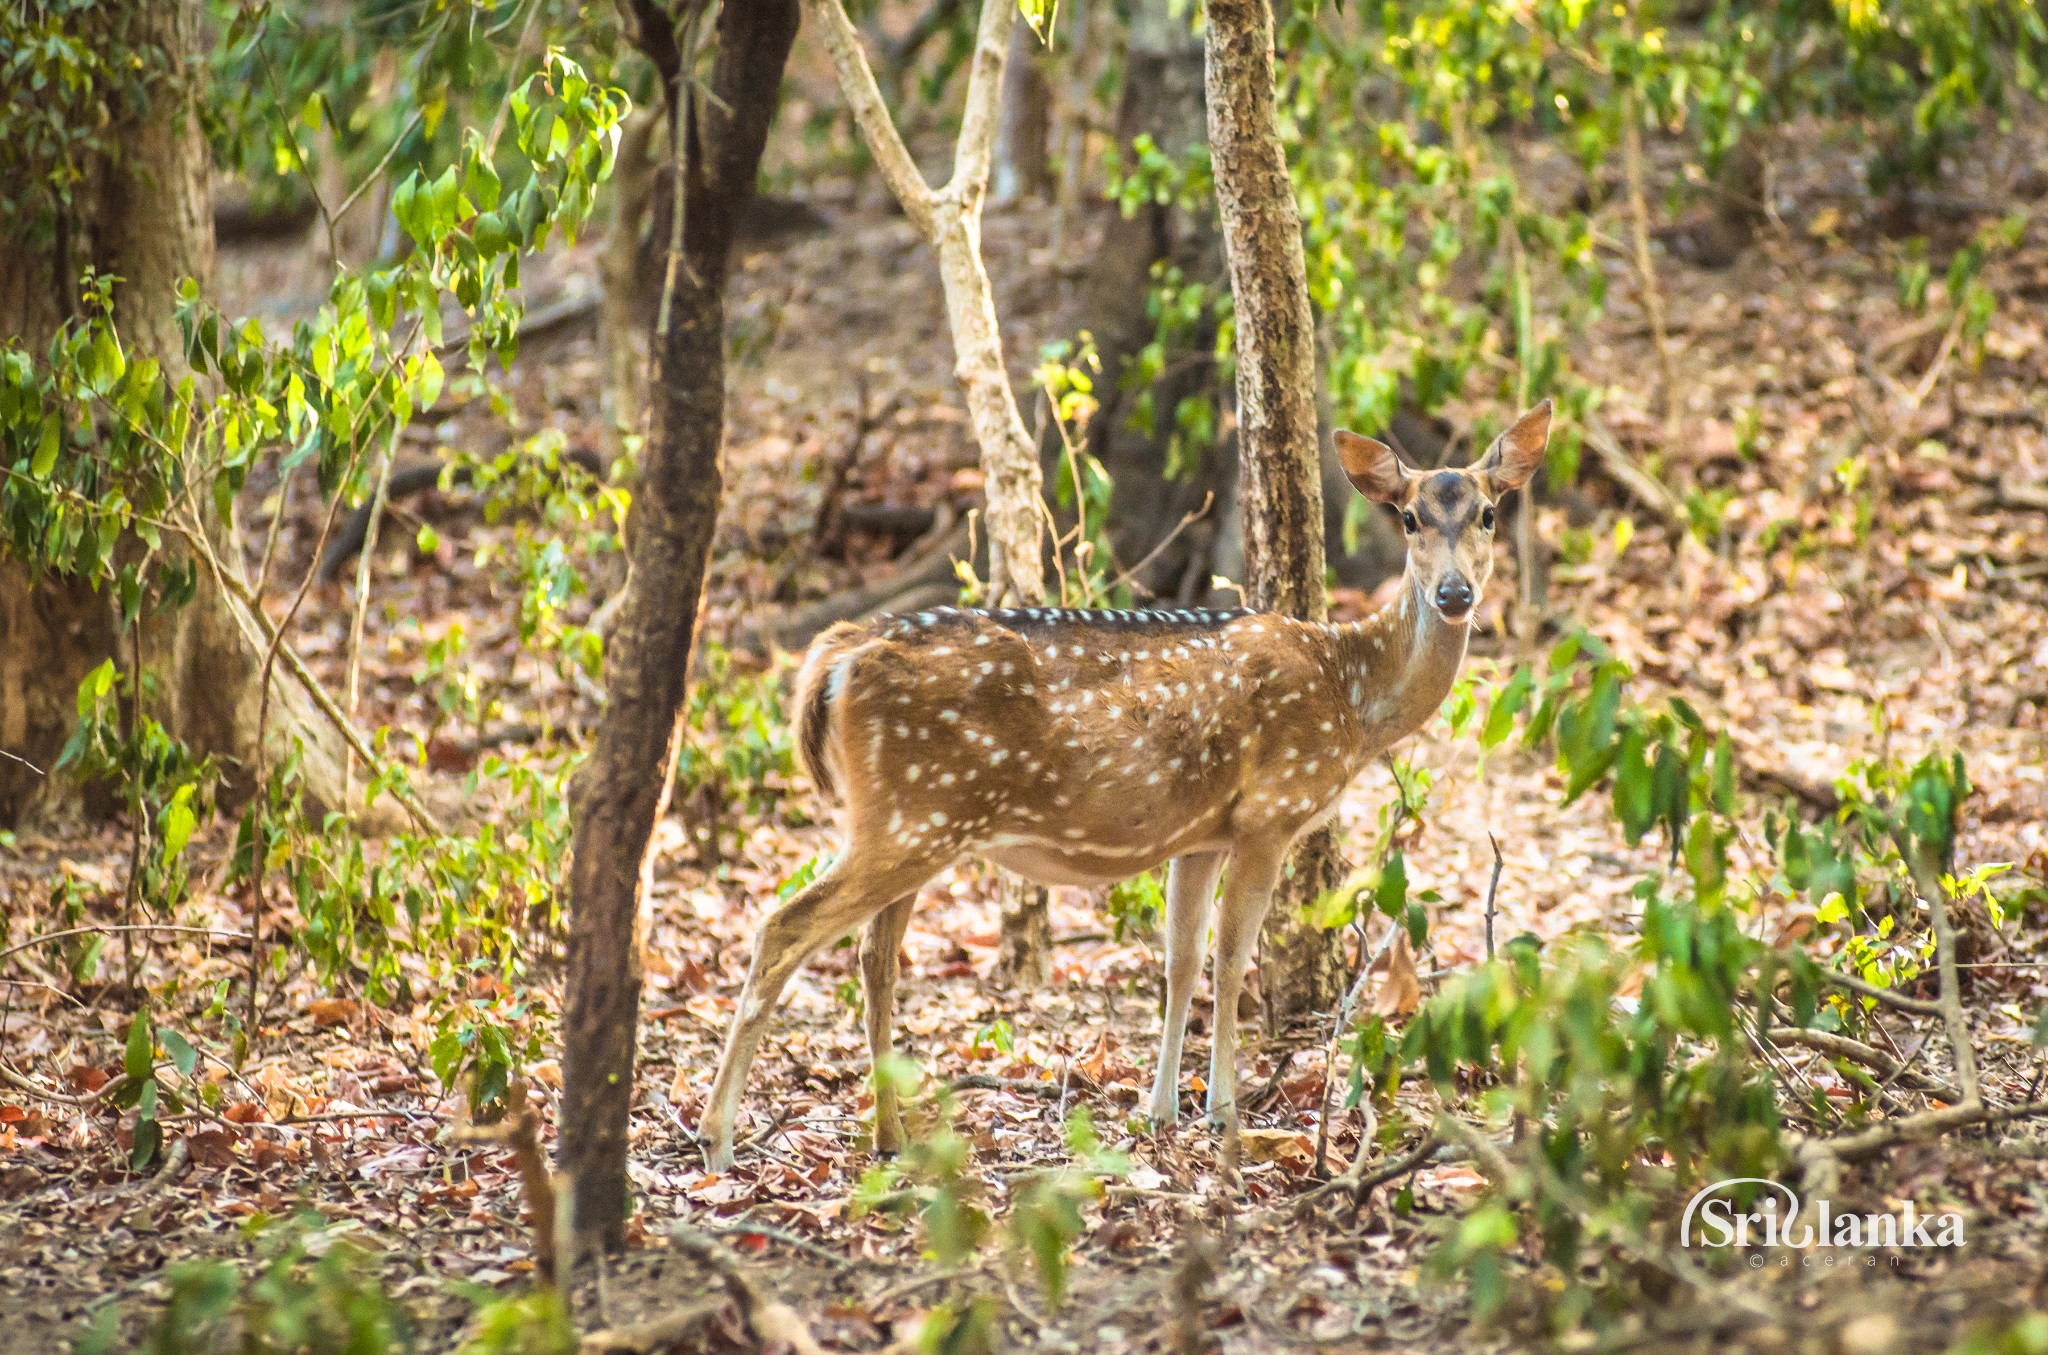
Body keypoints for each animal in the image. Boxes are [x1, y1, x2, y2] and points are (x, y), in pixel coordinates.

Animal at [688, 401, 1548, 1170]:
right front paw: (1223, 1110)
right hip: (916, 815)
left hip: (910, 817)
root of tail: (837, 656)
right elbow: (1232, 957)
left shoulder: (1201, 832)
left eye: (1489, 513)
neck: (1351, 691)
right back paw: (719, 1138)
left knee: (875, 955)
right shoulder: (1271, 811)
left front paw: (1160, 1107)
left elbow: (1181, 956)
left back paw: (889, 1137)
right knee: (784, 926)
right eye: (1407, 518)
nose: (1455, 594)